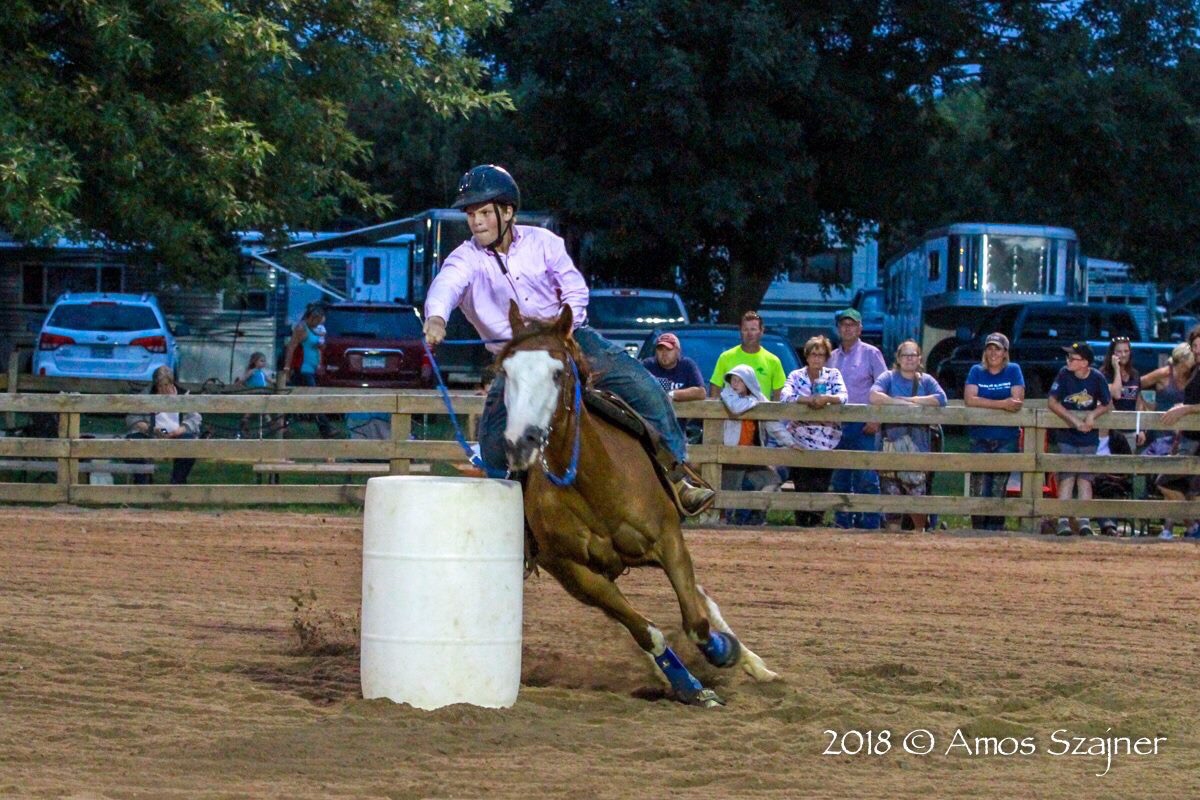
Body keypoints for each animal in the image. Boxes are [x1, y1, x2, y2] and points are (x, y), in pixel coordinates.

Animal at [496, 302, 777, 705]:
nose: (521, 441)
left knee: (703, 601)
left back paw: (753, 663)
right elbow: (647, 632)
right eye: (506, 371)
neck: (592, 483)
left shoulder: (669, 541)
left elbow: (696, 622)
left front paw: (725, 652)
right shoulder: (576, 575)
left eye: (557, 372)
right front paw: (691, 687)